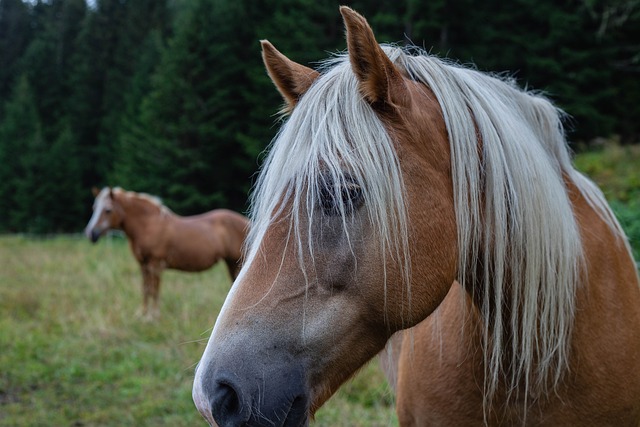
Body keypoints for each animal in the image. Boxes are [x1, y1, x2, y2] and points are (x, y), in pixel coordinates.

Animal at [87, 187, 250, 320]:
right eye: (94, 207)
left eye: (108, 210)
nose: (91, 233)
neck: (149, 225)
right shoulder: (143, 265)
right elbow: (145, 289)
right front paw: (142, 314)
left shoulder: (155, 265)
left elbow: (154, 290)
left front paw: (153, 316)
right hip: (231, 263)